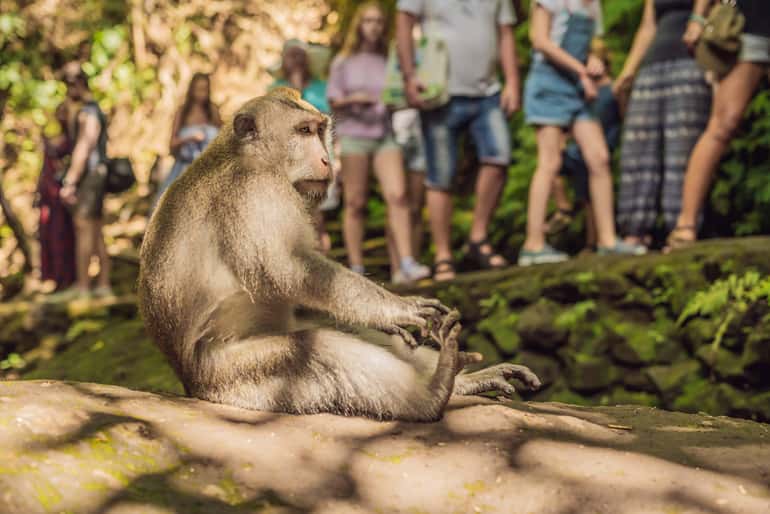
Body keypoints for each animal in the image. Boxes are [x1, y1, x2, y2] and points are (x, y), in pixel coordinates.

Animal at [138, 87, 541, 422]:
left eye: (318, 131)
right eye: (302, 131)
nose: (326, 160)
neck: (249, 157)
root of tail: (189, 382)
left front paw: (391, 318)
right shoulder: (251, 191)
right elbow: (288, 267)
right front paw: (398, 308)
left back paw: (462, 380)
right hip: (235, 378)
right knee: (316, 348)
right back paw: (432, 394)